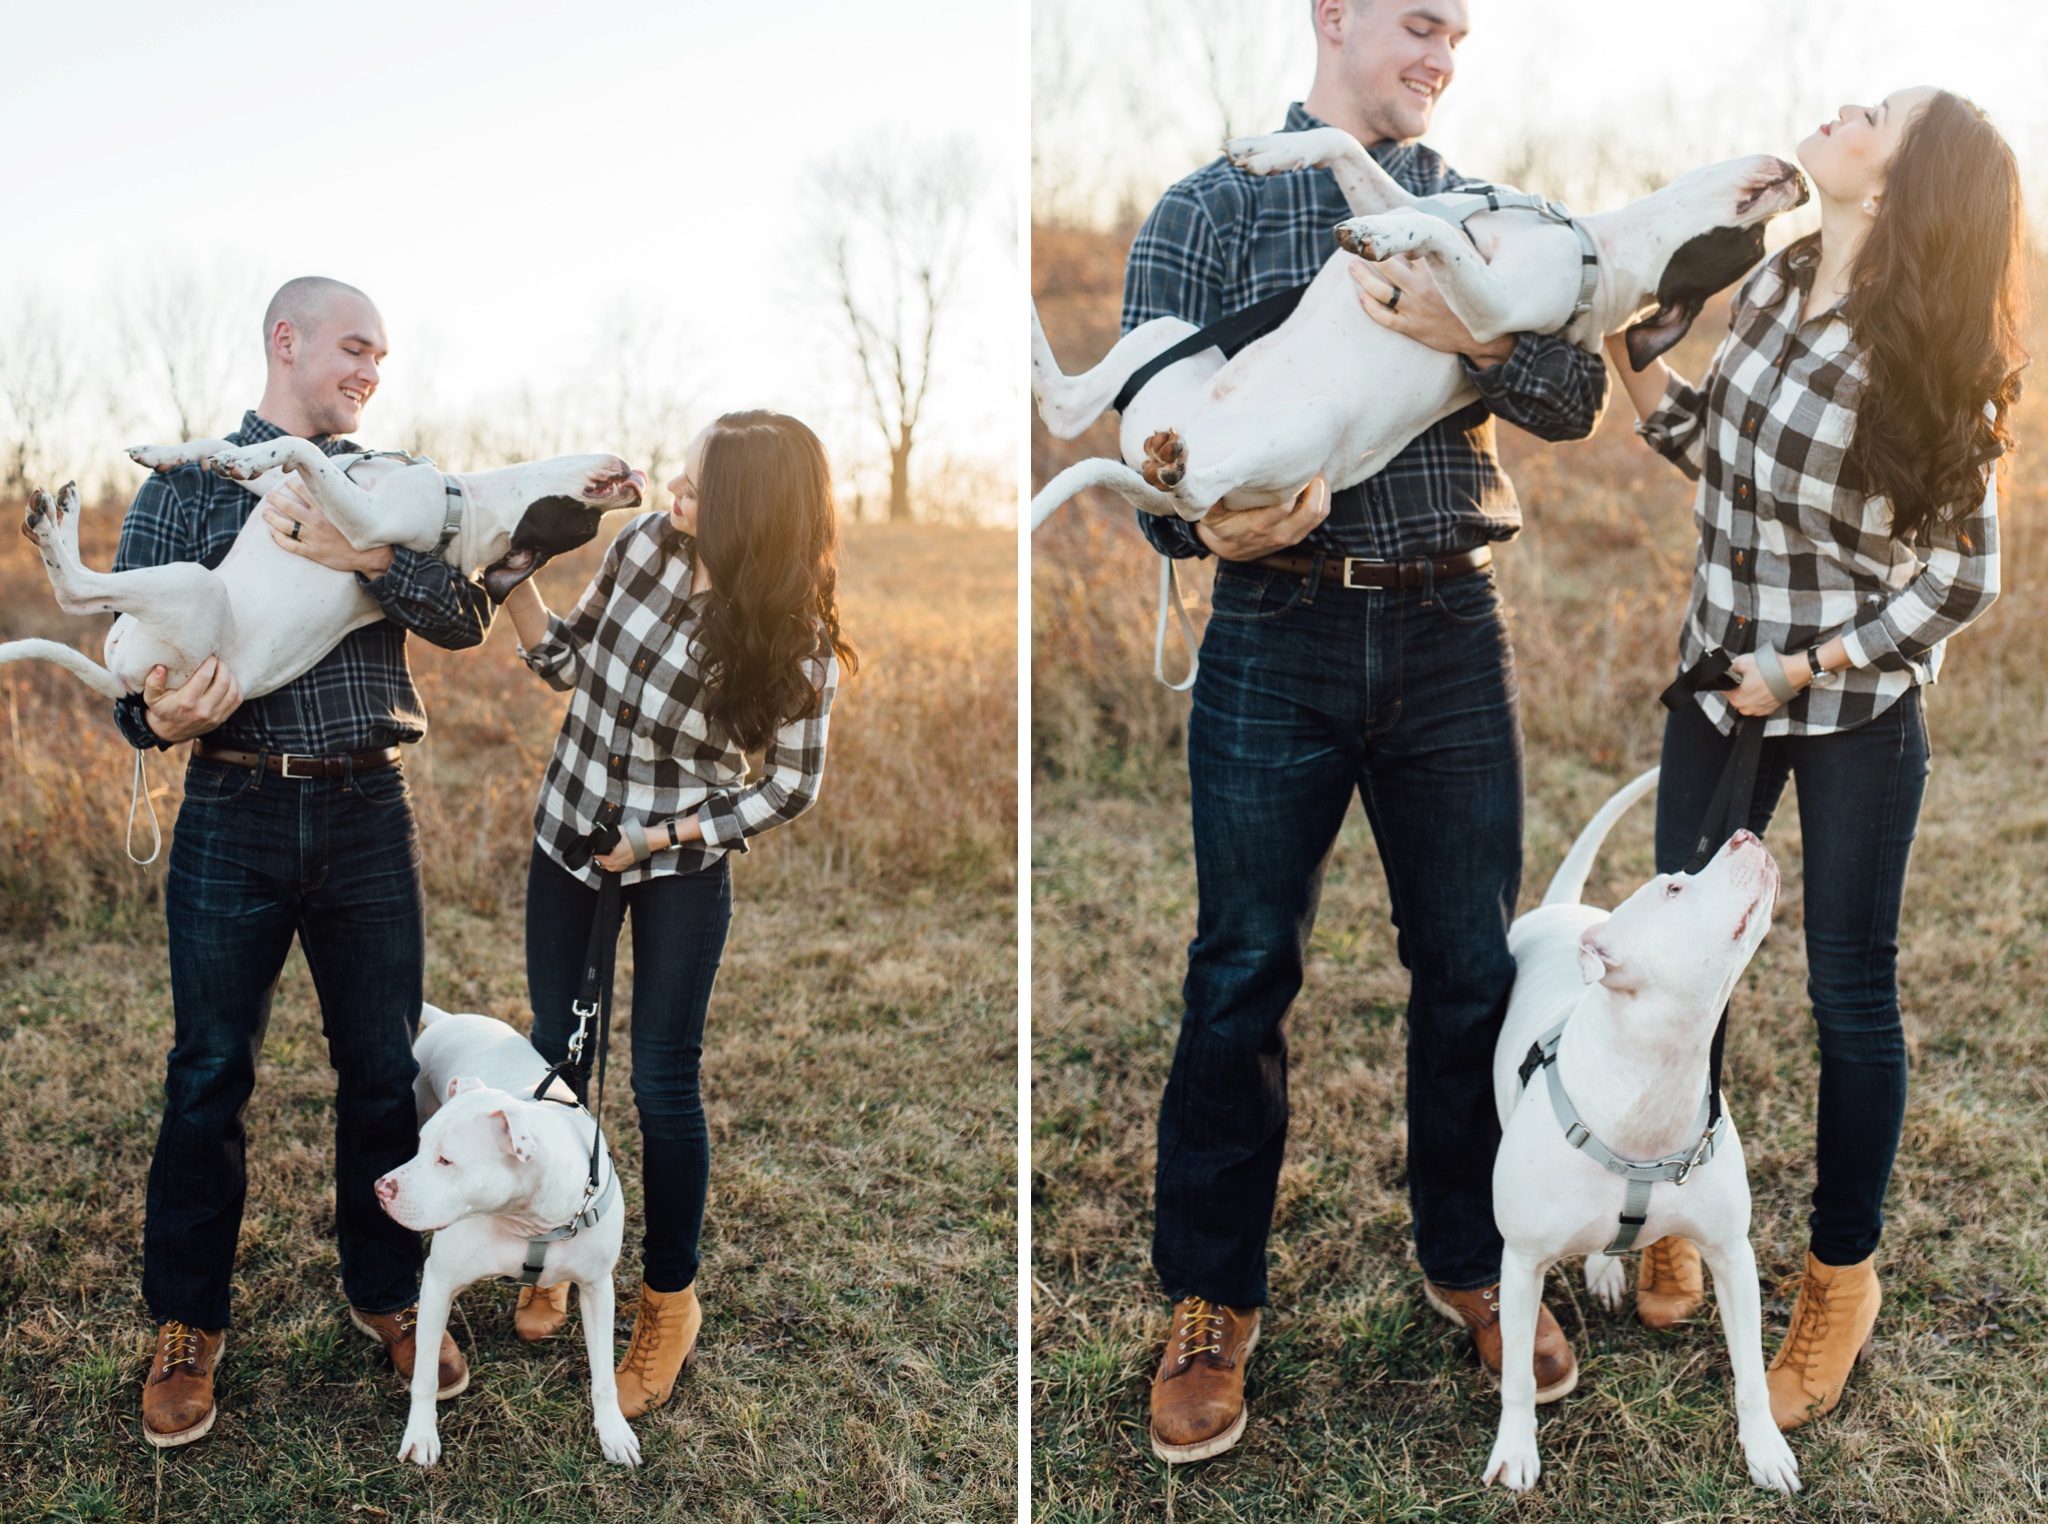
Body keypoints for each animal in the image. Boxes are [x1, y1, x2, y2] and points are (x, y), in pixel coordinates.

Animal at [4, 434, 643, 700]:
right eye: (584, 526)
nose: (637, 492)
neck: (462, 502)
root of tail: (125, 680)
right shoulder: (285, 490)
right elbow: (218, 443)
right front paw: (165, 452)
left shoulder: (362, 521)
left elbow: (297, 444)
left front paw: (245, 455)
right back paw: (66, 511)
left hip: (192, 585)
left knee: (75, 591)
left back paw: (50, 525)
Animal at [372, 999, 634, 1466]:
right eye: (421, 1146)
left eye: (446, 1160)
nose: (381, 1189)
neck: (529, 1219)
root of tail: (451, 1019)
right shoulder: (439, 1281)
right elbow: (424, 1374)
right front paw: (420, 1435)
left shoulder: (598, 1288)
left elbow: (604, 1374)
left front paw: (614, 1431)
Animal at [1032, 128, 1802, 528]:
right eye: (1754, 243)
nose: (1801, 181)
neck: (1593, 244)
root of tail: (1156, 449)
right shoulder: (1412, 191)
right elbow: (1345, 143)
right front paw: (1270, 151)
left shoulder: (1492, 310)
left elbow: (1434, 234)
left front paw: (1384, 234)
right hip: (1163, 333)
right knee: (1065, 407)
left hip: (1301, 433)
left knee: (1189, 492)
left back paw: (1176, 467)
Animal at [1482, 774, 1802, 1491]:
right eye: (1675, 889)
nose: (1744, 833)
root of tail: (1561, 910)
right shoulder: (1520, 1263)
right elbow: (1518, 1375)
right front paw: (1515, 1450)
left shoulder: (1733, 1254)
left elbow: (1750, 1373)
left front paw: (1764, 1449)